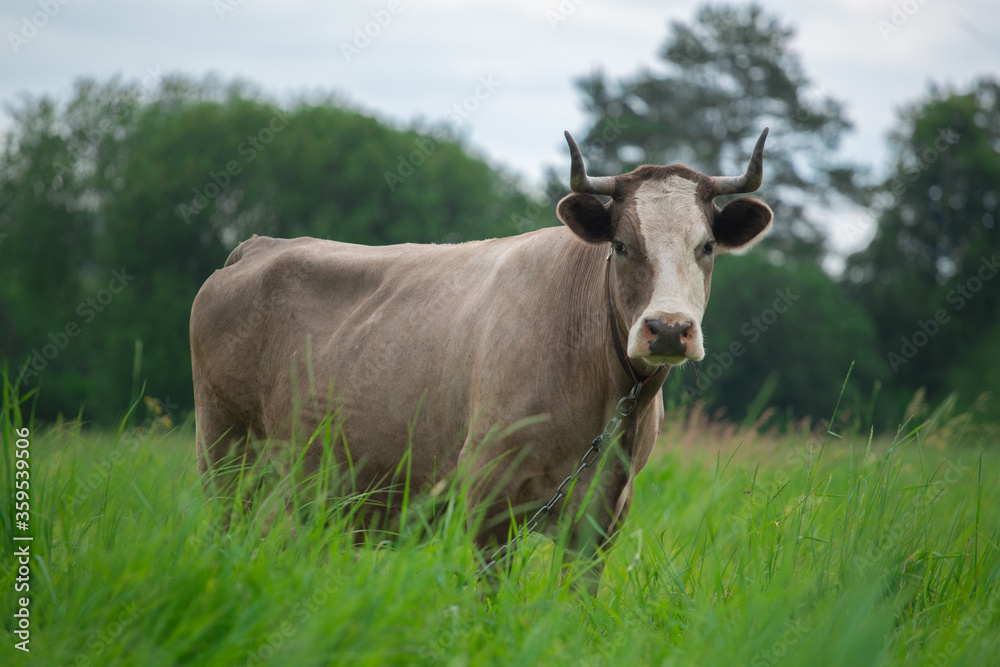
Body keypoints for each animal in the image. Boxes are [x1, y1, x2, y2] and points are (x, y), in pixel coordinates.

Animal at [193, 130, 772, 588]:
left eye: (707, 247)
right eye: (623, 245)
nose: (669, 329)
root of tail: (258, 244)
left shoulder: (601, 517)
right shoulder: (487, 501)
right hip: (226, 454)